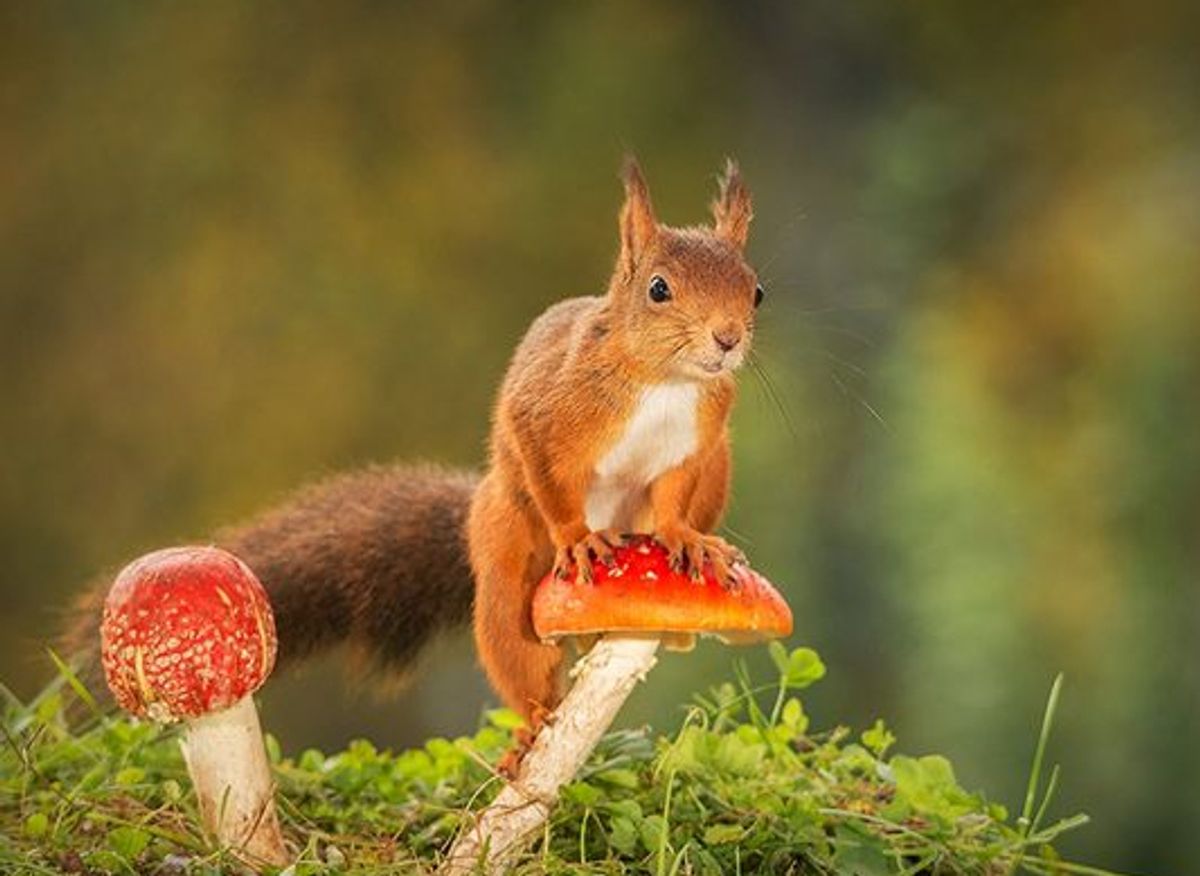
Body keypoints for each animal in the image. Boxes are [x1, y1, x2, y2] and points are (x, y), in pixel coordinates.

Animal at [63, 158, 758, 724]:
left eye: (756, 289)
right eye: (659, 289)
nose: (727, 340)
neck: (667, 382)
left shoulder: (697, 441)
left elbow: (671, 494)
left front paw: (682, 536)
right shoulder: (547, 410)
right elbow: (542, 461)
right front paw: (578, 538)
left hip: (718, 466)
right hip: (507, 553)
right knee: (516, 646)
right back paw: (532, 725)